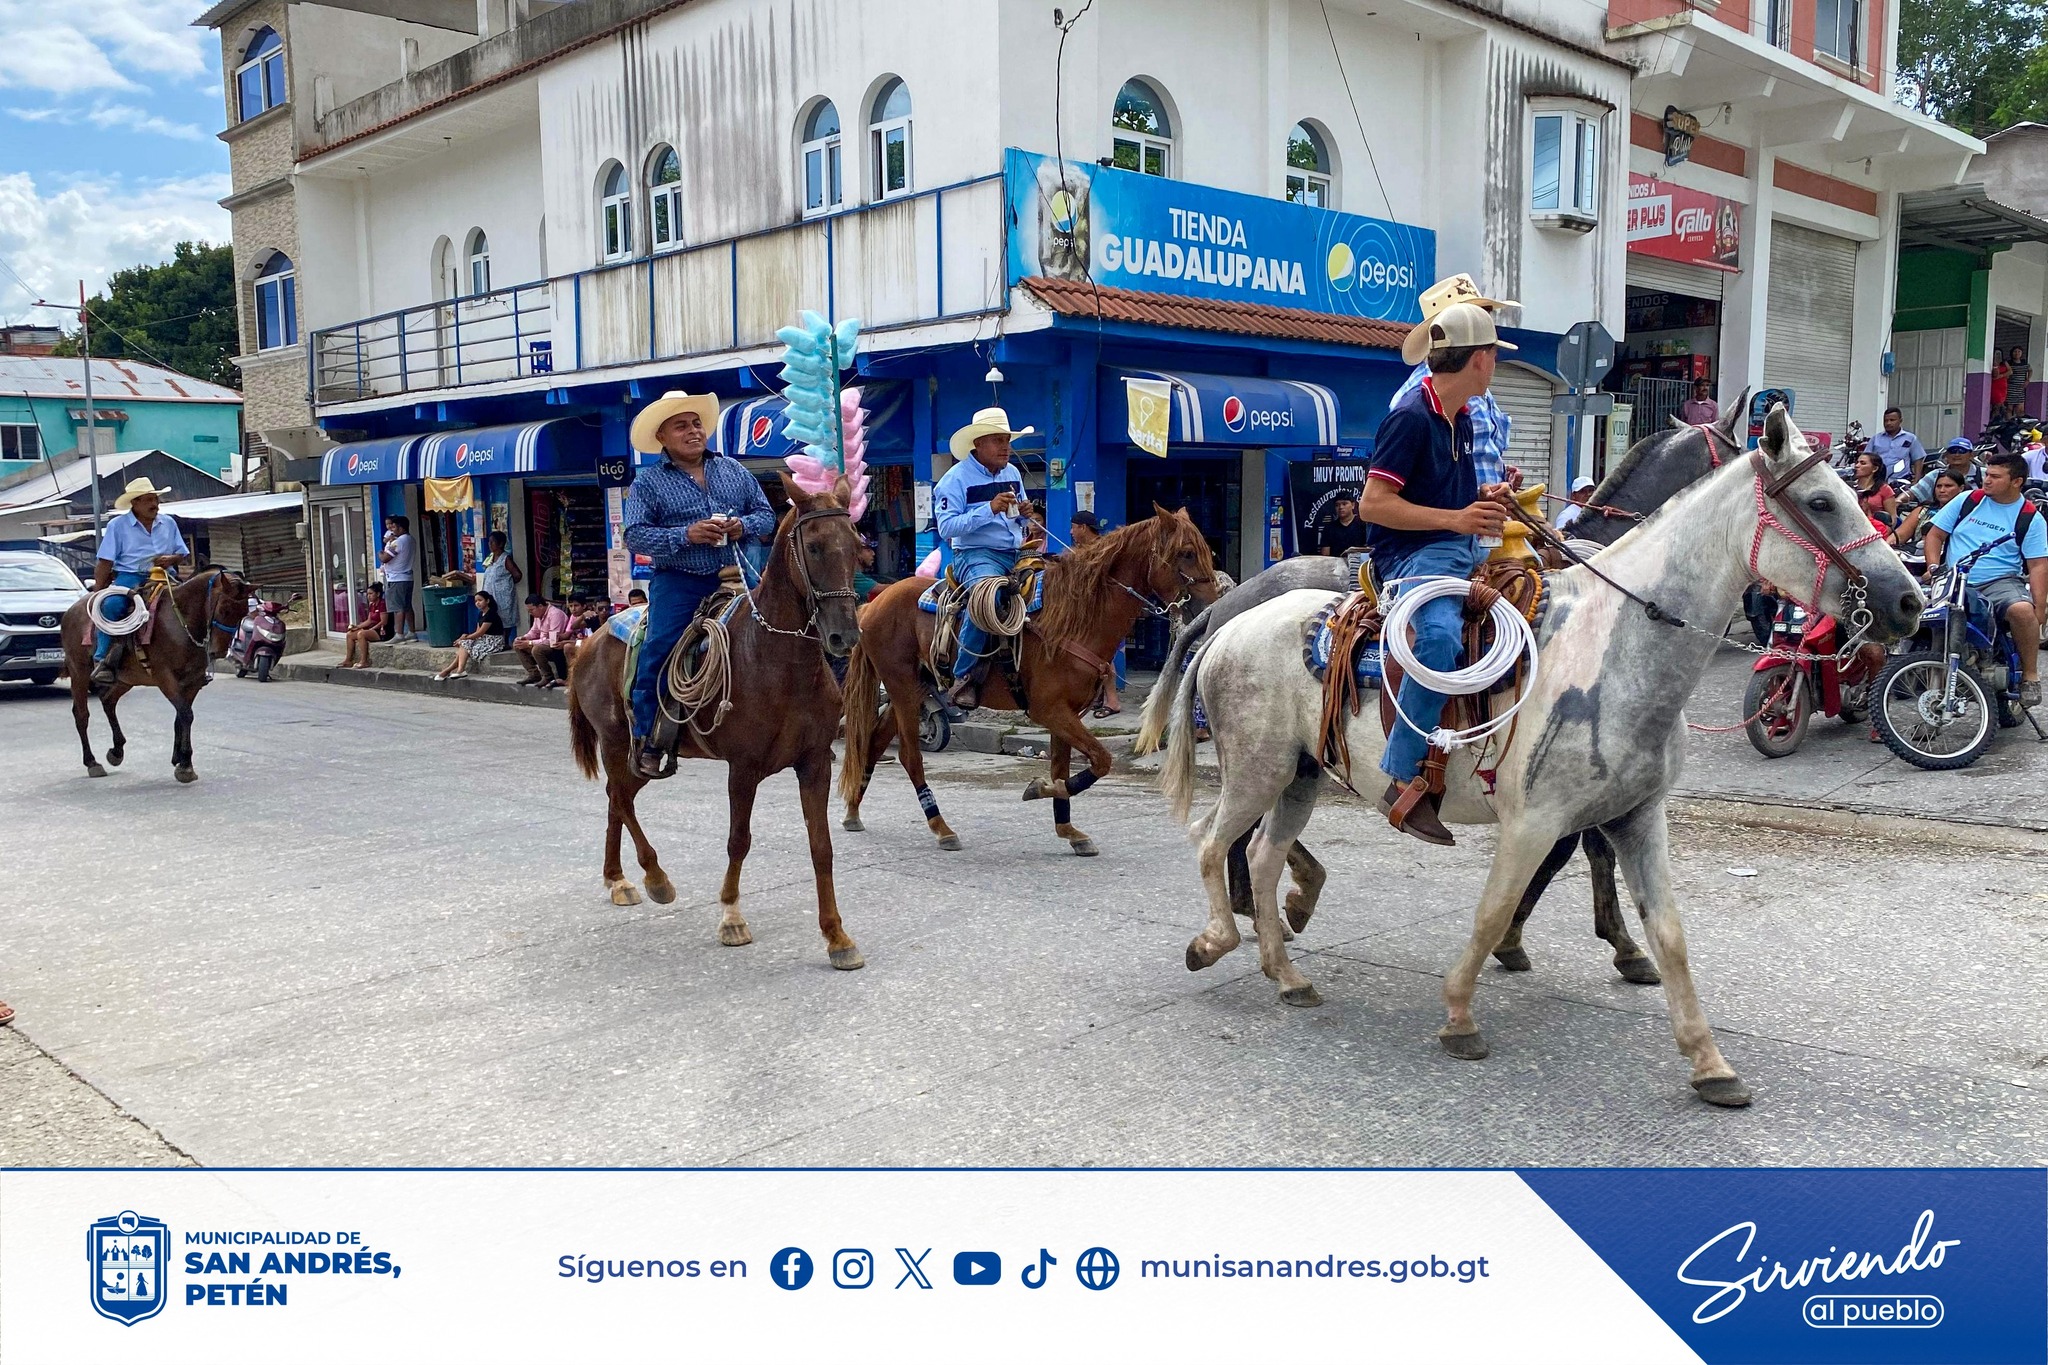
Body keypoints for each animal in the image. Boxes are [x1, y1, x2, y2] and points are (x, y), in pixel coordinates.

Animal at [62, 567, 252, 782]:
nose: (218, 652)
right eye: (224, 609)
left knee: (108, 700)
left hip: (126, 679)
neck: (182, 621)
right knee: (81, 714)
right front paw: (185, 765)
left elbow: (182, 716)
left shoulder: (193, 682)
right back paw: (92, 762)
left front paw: (181, 760)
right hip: (79, 672)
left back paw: (117, 751)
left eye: (244, 613)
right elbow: (186, 714)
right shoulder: (165, 678)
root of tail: (70, 611)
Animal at [566, 476, 867, 969]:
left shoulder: (815, 762)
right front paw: (731, 916)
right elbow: (738, 840)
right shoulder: (742, 768)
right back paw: (654, 878)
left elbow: (821, 847)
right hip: (616, 741)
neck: (778, 660)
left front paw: (837, 937)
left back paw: (617, 879)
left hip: (639, 757)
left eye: (857, 545)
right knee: (620, 799)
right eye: (815, 546)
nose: (844, 635)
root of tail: (588, 642)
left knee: (617, 799)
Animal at [838, 506, 1220, 856]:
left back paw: (853, 812)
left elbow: (1063, 767)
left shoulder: (1069, 713)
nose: (1211, 606)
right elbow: (1100, 761)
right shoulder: (1048, 710)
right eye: (1186, 552)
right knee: (908, 755)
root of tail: (871, 606)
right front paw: (1039, 788)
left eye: (1207, 551)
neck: (1074, 619)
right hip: (901, 687)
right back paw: (941, 828)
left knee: (874, 742)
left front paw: (1068, 830)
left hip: (915, 689)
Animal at [1133, 394, 1752, 983]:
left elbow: (1578, 848)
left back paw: (1280, 901)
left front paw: (1534, 939)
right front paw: (1600, 944)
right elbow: (1580, 850)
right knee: (1240, 829)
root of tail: (1225, 607)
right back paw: (1260, 907)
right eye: (1737, 448)